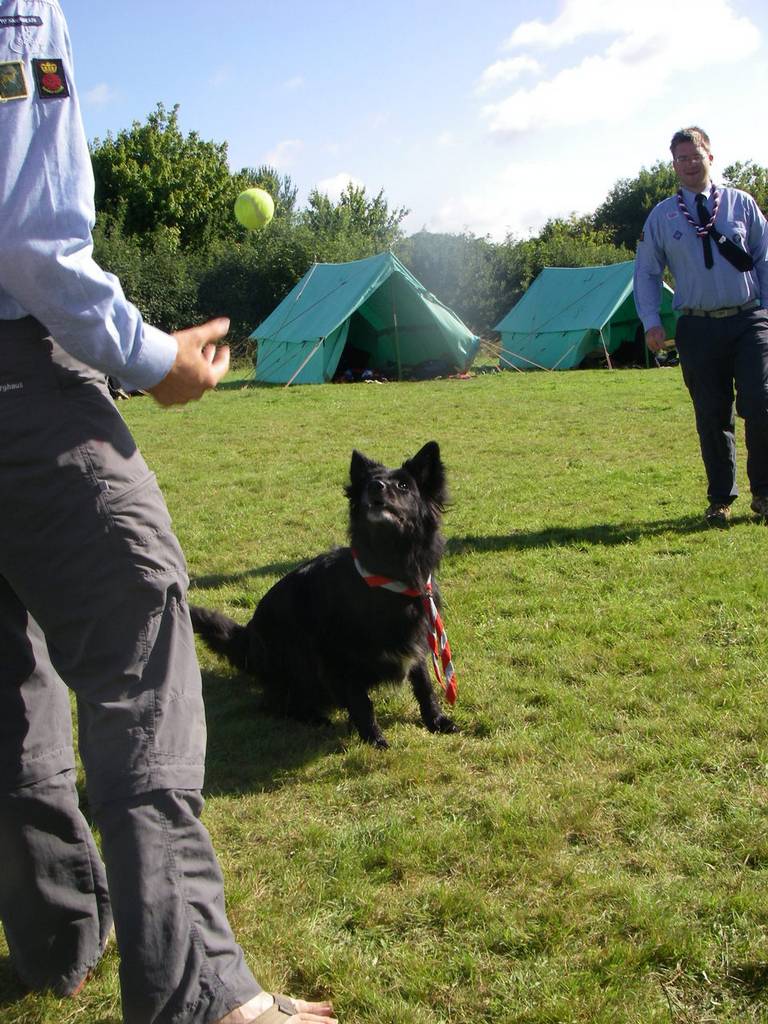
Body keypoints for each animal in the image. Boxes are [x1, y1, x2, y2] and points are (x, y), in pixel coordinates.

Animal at [190, 444, 460, 749]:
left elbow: (424, 685)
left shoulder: (416, 641)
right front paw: (374, 738)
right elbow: (361, 701)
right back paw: (313, 717)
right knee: (274, 704)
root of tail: (248, 636)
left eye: (404, 486)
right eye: (370, 482)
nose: (375, 487)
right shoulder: (336, 654)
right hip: (297, 659)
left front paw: (436, 721)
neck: (389, 571)